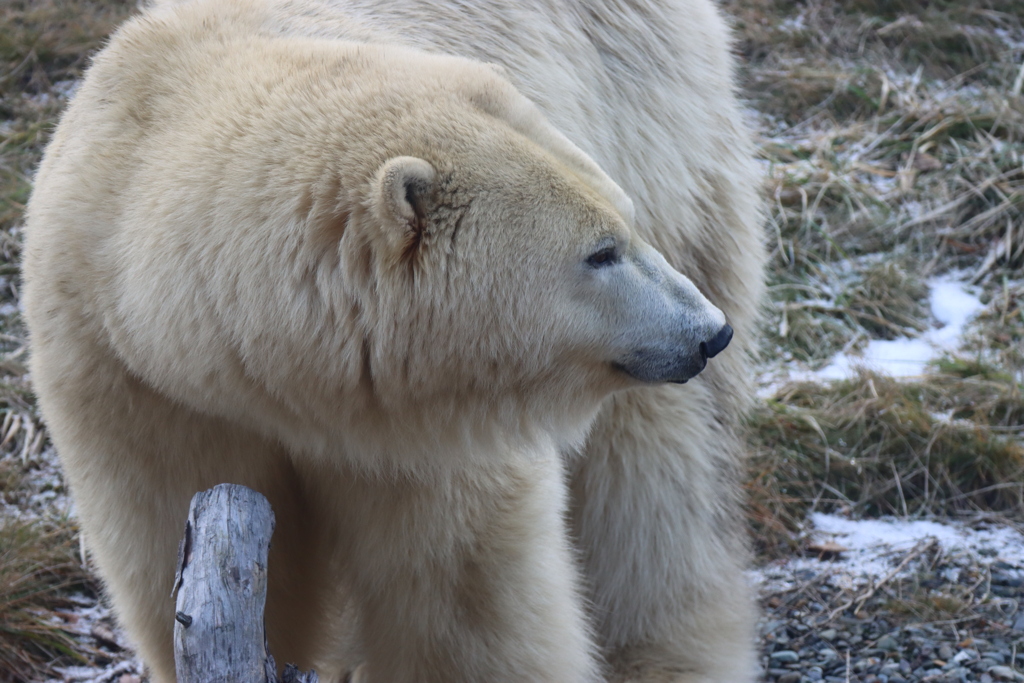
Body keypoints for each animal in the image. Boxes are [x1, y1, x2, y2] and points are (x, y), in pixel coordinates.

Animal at [24, 0, 765, 679]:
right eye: (601, 251)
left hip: (659, 133)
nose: (709, 333)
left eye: (620, 227)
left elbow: (459, 593)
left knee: (655, 478)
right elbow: (168, 555)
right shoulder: (129, 379)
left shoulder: (424, 419)